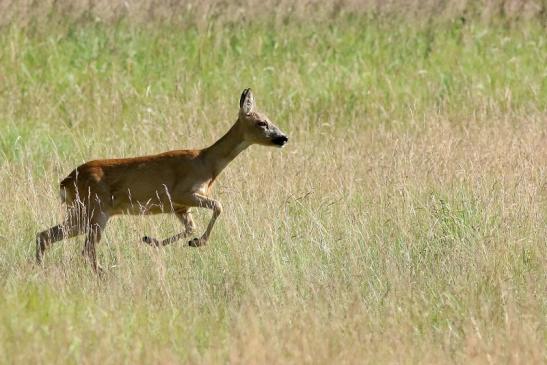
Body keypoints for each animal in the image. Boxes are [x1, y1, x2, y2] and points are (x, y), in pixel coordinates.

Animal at [36, 88, 288, 270]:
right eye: (261, 122)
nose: (283, 137)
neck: (208, 164)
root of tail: (66, 182)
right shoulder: (183, 193)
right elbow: (219, 206)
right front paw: (197, 242)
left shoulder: (179, 207)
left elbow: (190, 227)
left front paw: (153, 241)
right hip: (95, 210)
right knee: (85, 249)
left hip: (83, 213)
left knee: (45, 235)